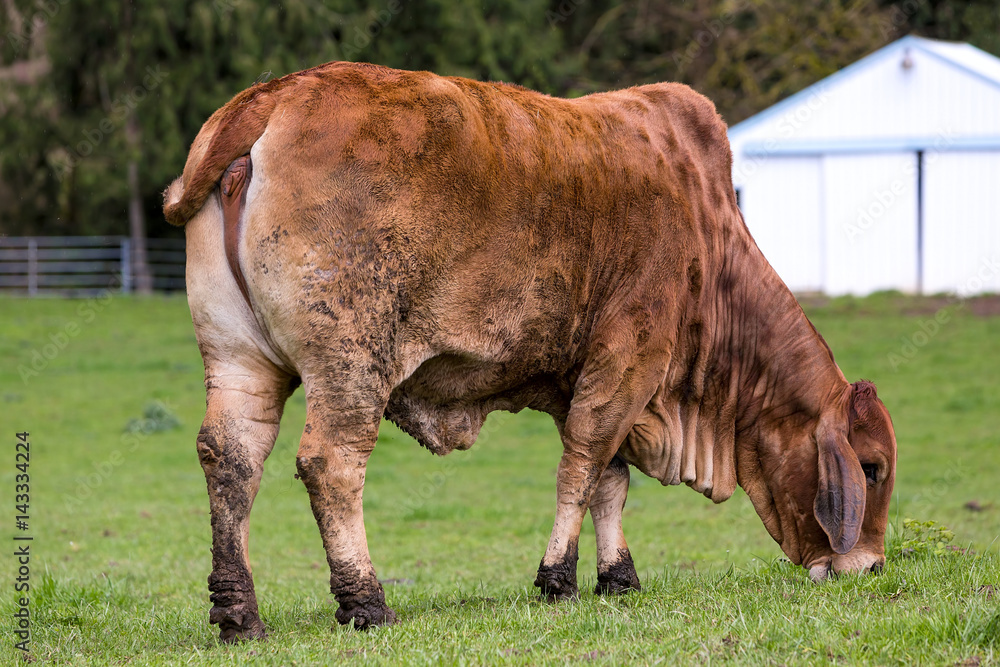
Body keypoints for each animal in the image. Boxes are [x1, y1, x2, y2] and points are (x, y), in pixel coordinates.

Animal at [163, 62, 897, 641]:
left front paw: (617, 575)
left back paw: (239, 613)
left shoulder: (584, 378)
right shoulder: (628, 361)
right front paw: (557, 578)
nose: (870, 565)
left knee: (230, 459)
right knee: (331, 465)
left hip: (239, 360)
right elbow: (583, 467)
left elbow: (610, 480)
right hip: (350, 364)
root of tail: (275, 95)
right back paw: (365, 601)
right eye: (873, 467)